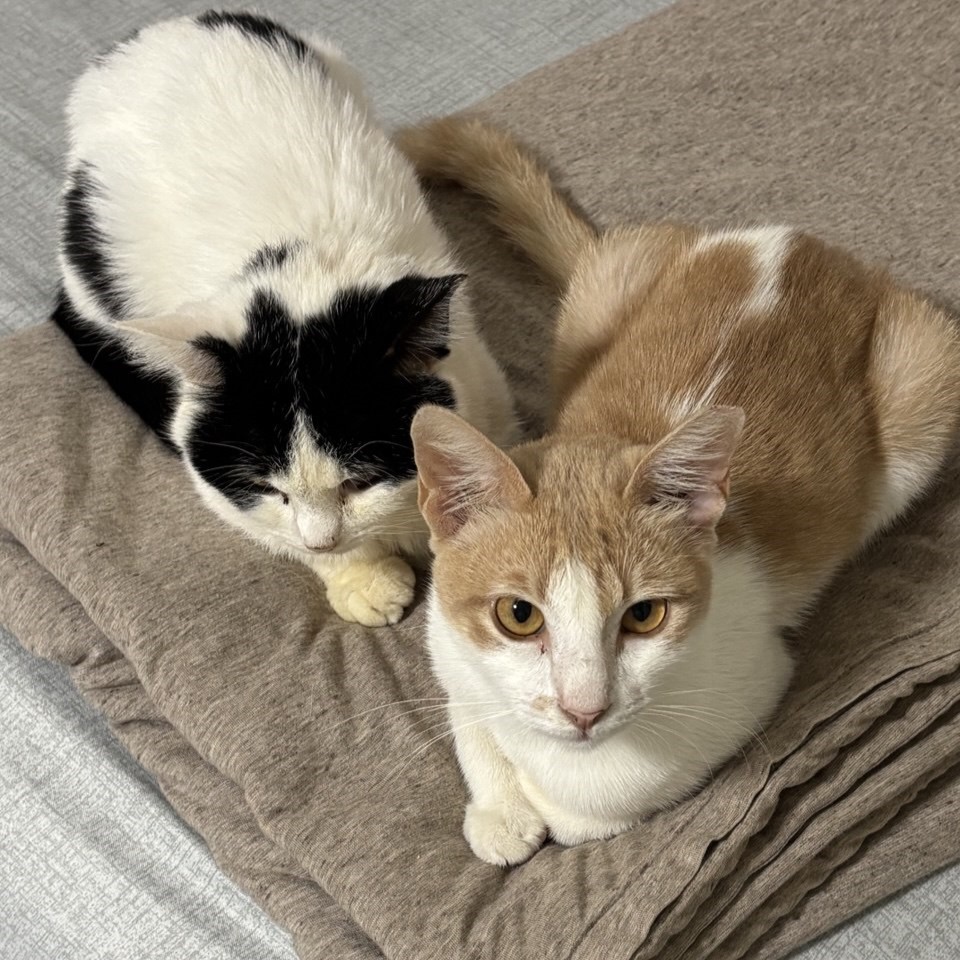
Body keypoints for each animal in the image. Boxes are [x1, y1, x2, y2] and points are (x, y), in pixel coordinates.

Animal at [52, 12, 515, 627]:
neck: (303, 265)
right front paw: (362, 576)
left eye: (360, 481)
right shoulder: (219, 482)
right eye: (271, 489)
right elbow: (274, 530)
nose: (324, 537)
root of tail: (147, 37)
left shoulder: (487, 391)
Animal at [397, 117, 960, 864]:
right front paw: (499, 806)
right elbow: (469, 708)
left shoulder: (751, 678)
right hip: (601, 291)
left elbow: (609, 791)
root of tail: (799, 246)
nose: (584, 709)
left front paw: (553, 803)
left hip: (924, 380)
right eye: (518, 615)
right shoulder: (447, 639)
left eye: (645, 616)